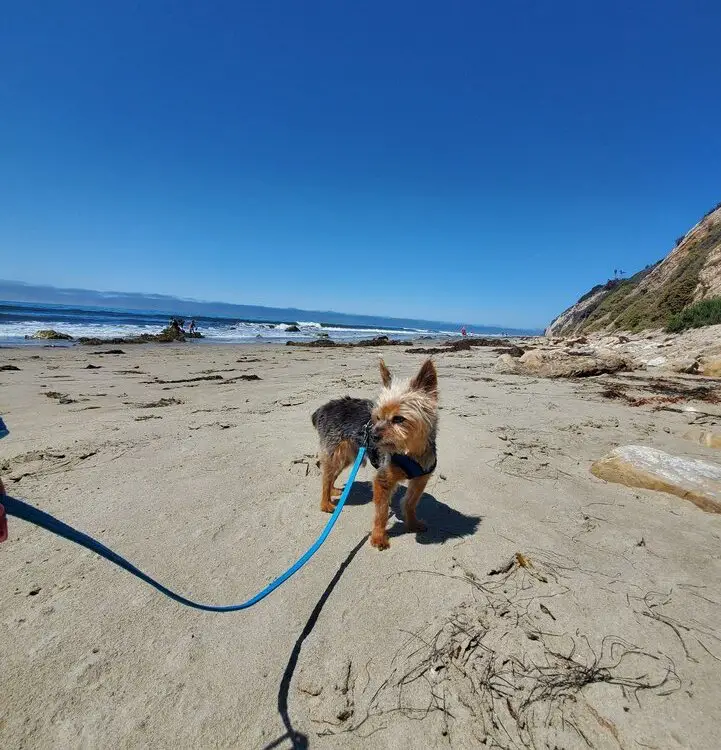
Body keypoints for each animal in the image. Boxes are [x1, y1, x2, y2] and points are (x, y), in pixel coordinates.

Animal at [310, 360, 438, 552]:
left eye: (399, 419)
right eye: (377, 417)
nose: (372, 435)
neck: (409, 451)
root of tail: (324, 408)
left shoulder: (420, 478)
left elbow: (410, 503)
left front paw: (413, 524)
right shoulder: (383, 480)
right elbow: (381, 511)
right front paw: (378, 537)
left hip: (348, 455)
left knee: (331, 474)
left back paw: (334, 490)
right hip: (336, 452)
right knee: (326, 476)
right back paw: (326, 503)